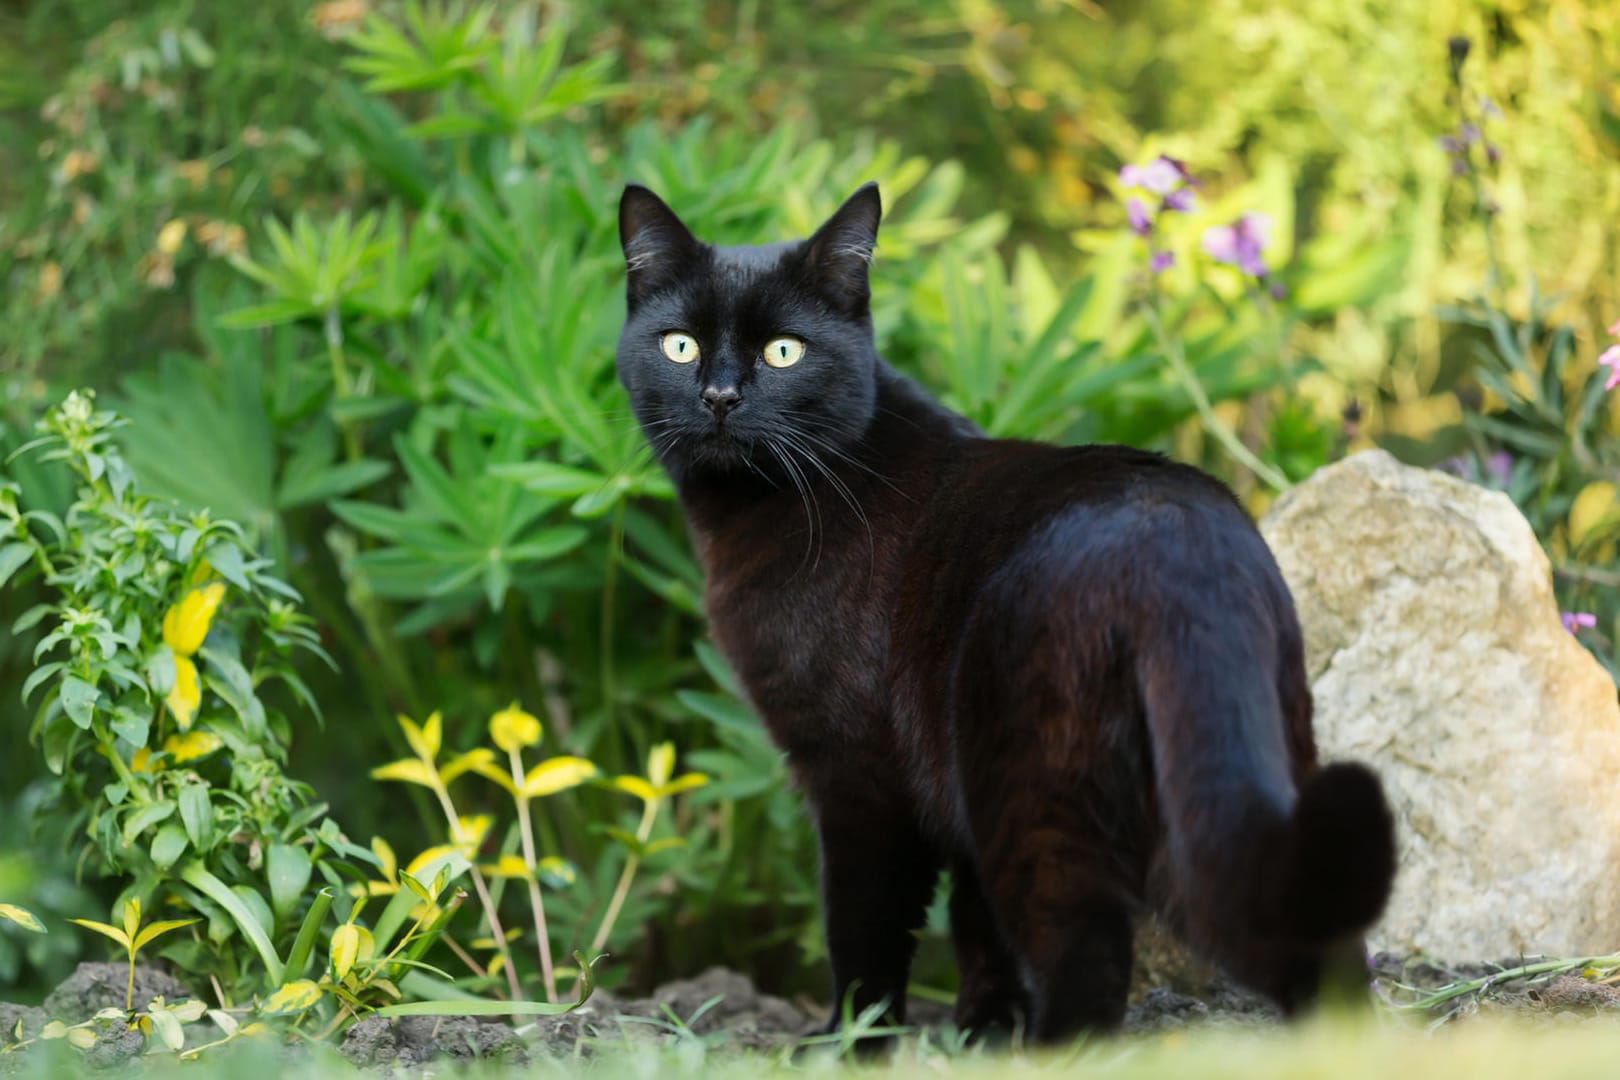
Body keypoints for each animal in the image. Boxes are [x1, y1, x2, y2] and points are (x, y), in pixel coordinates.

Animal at [609, 181, 1393, 1042]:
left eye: (784, 351)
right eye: (681, 346)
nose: (719, 395)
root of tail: (1184, 544)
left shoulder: (858, 775)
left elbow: (866, 928)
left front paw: (855, 1039)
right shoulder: (943, 789)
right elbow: (975, 924)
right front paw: (984, 1030)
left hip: (1033, 790)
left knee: (1088, 957)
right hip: (1221, 777)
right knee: (1311, 936)